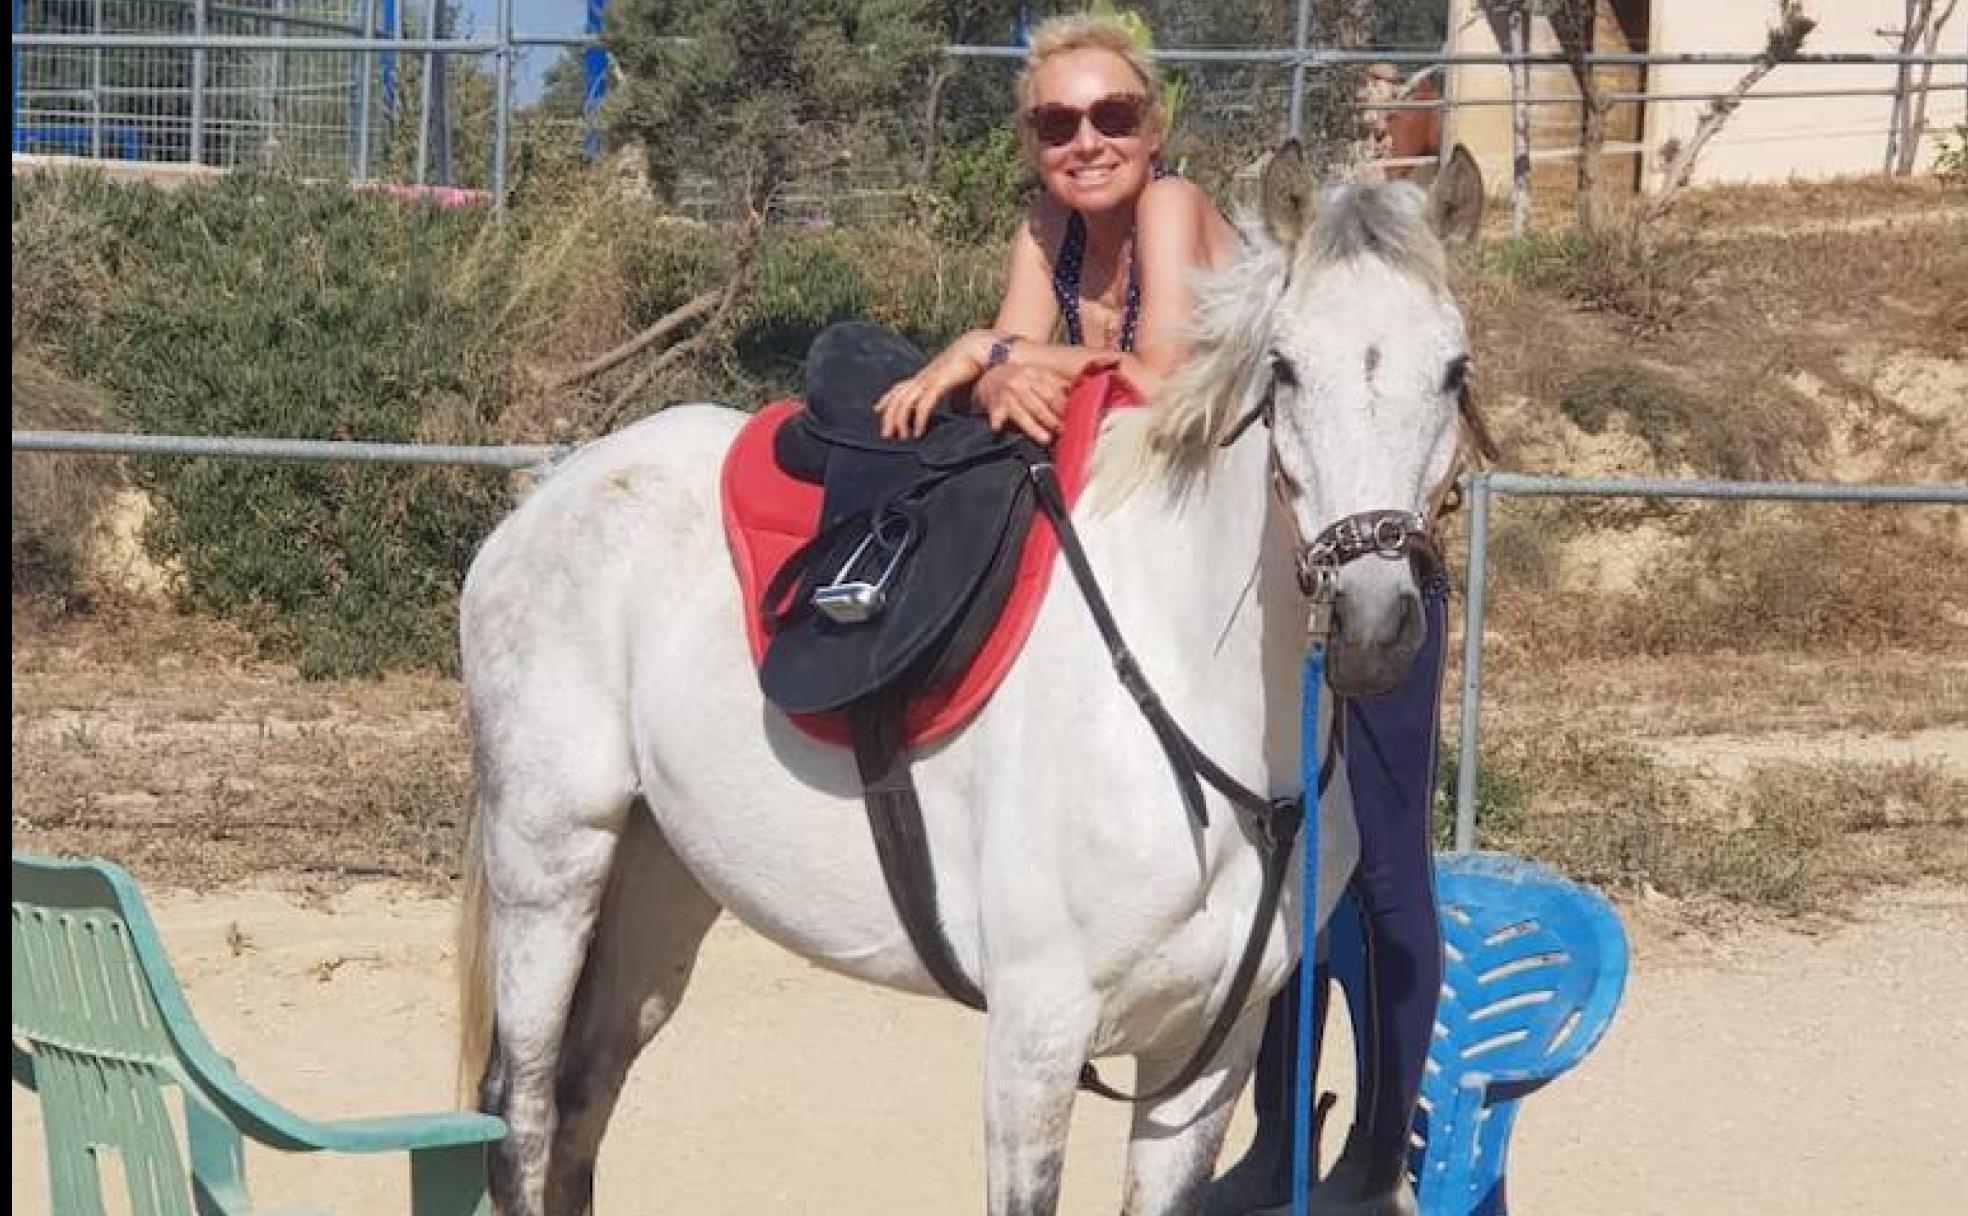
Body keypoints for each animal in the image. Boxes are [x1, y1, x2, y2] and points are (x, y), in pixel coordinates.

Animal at [455, 144, 1487, 1216]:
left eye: (1454, 371)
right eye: (1283, 367)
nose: (1375, 622)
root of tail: (554, 491)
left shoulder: (1207, 1057)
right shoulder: (1035, 1035)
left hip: (661, 877)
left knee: (583, 1098)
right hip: (551, 863)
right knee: (520, 1107)